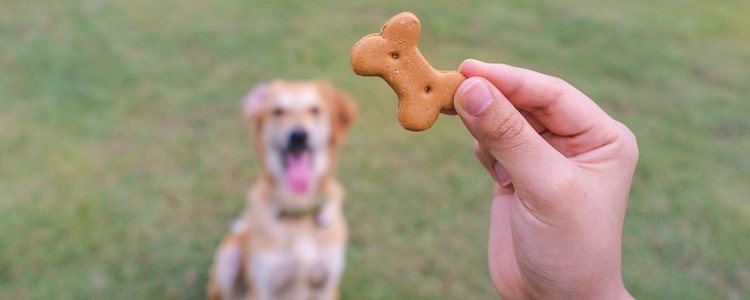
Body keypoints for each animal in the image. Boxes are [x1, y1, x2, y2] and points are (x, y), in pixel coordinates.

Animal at [207, 80, 356, 300]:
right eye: (277, 111)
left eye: (315, 110)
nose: (298, 136)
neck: (298, 210)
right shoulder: (262, 288)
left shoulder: (327, 285)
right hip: (228, 257)